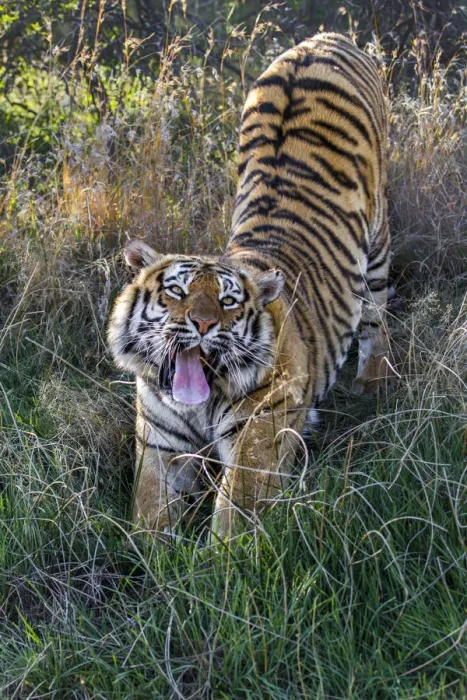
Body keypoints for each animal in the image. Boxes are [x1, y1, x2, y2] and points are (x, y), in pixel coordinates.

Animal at [107, 33, 392, 541]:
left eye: (228, 301)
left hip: (376, 246)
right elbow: (150, 515)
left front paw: (215, 556)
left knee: (376, 315)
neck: (197, 405)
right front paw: (152, 548)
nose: (202, 325)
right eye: (176, 292)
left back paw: (371, 383)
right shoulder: (158, 445)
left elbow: (234, 515)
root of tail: (324, 38)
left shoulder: (259, 434)